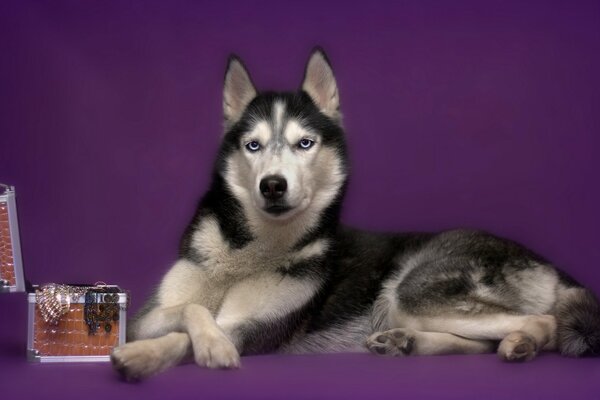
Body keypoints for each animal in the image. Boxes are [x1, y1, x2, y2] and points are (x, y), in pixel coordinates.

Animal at [111, 48, 600, 380]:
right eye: (253, 145)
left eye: (304, 143)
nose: (273, 185)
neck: (246, 251)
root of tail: (549, 264)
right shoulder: (148, 315)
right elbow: (190, 307)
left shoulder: (251, 328)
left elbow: (188, 334)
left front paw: (153, 356)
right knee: (482, 342)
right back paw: (408, 343)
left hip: (413, 289)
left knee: (541, 322)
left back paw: (520, 343)